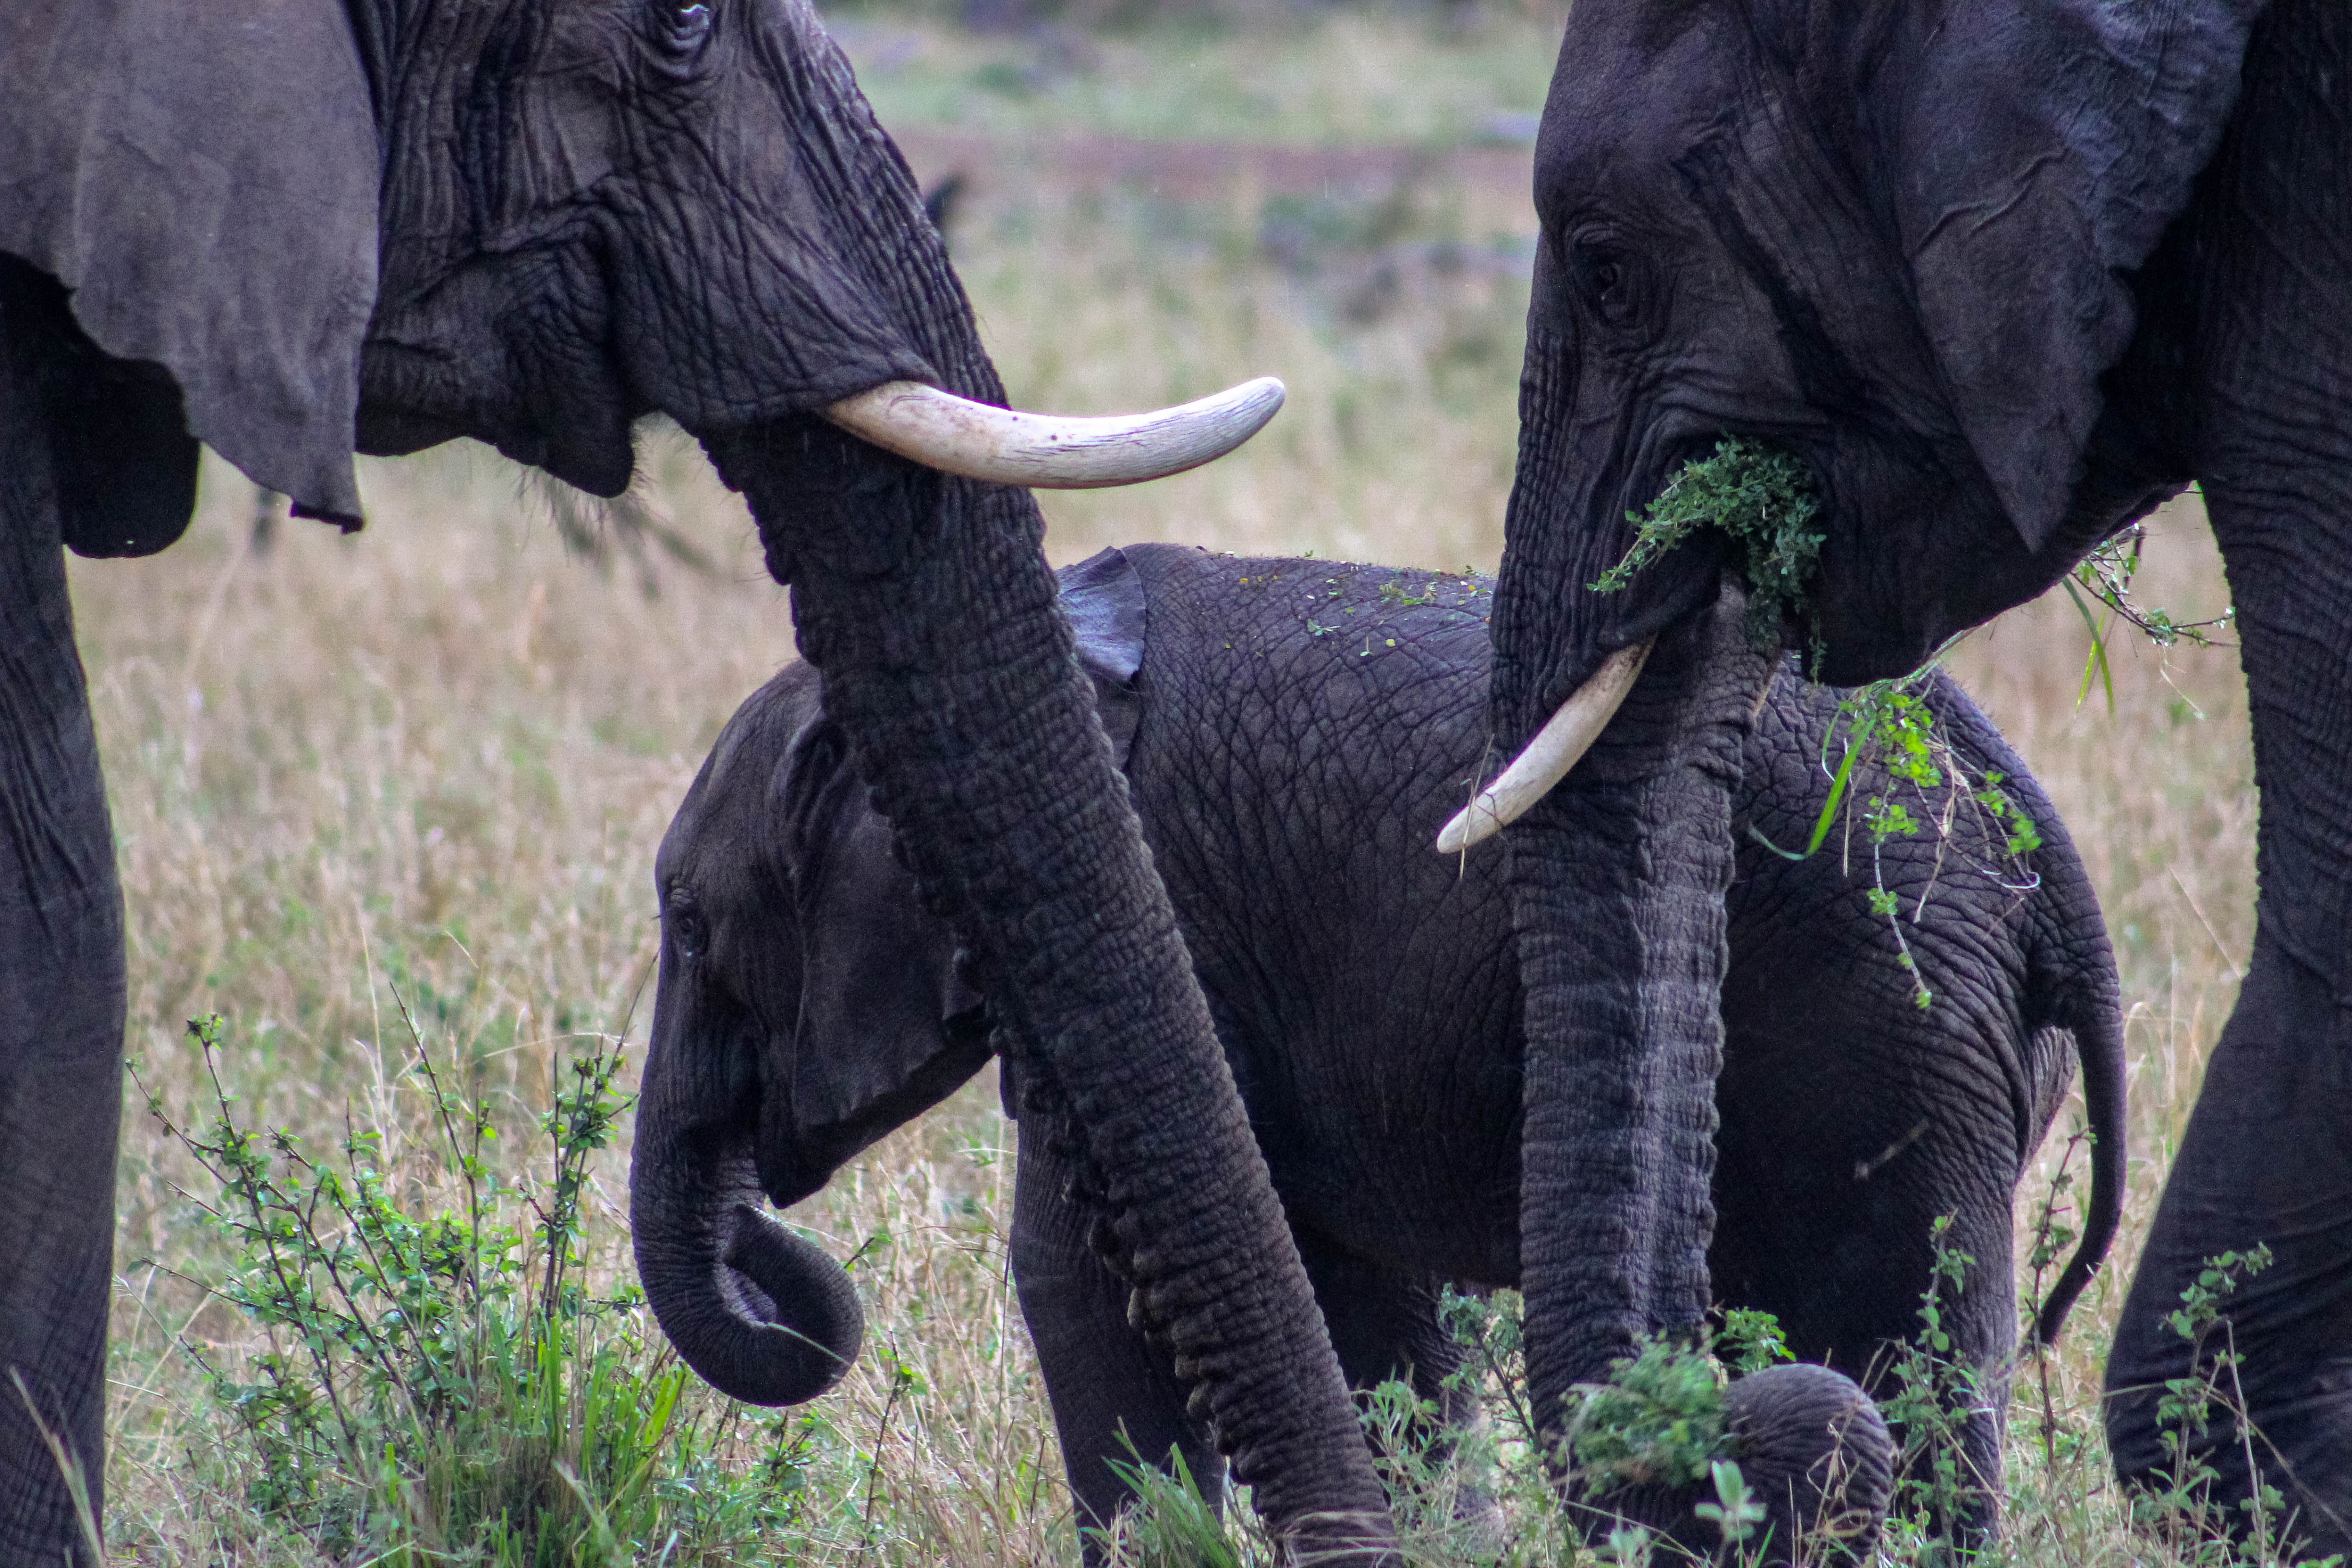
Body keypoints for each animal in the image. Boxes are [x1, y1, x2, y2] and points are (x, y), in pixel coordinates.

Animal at [630, 540, 2135, 1542]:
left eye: (691, 926)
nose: (762, 1223)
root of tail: (2035, 839)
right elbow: (1365, 1307)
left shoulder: (1167, 920)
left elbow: (1077, 1281)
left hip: (1882, 1001)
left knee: (1896, 1337)